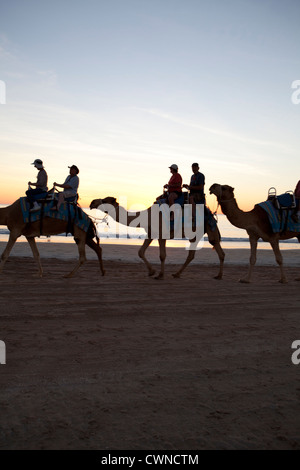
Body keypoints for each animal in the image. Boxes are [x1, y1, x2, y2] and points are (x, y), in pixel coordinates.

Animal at [88, 196, 224, 280]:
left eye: (105, 200)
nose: (92, 202)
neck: (145, 216)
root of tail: (211, 213)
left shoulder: (161, 234)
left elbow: (162, 255)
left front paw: (160, 275)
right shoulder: (150, 234)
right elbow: (140, 252)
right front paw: (151, 271)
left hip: (206, 228)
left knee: (213, 246)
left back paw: (218, 275)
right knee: (198, 253)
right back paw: (178, 274)